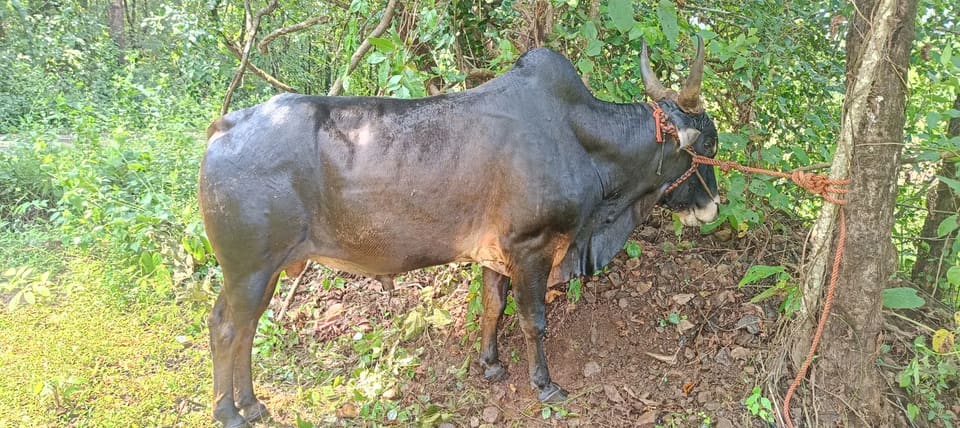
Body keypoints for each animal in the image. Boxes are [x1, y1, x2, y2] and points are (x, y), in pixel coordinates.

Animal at [199, 38, 720, 427]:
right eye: (710, 144)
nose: (713, 207)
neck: (581, 140)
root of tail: (224, 126)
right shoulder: (531, 247)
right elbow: (534, 320)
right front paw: (544, 384)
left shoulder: (497, 254)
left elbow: (493, 306)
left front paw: (490, 364)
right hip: (249, 269)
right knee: (226, 327)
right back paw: (230, 412)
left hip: (266, 270)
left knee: (245, 327)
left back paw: (252, 404)